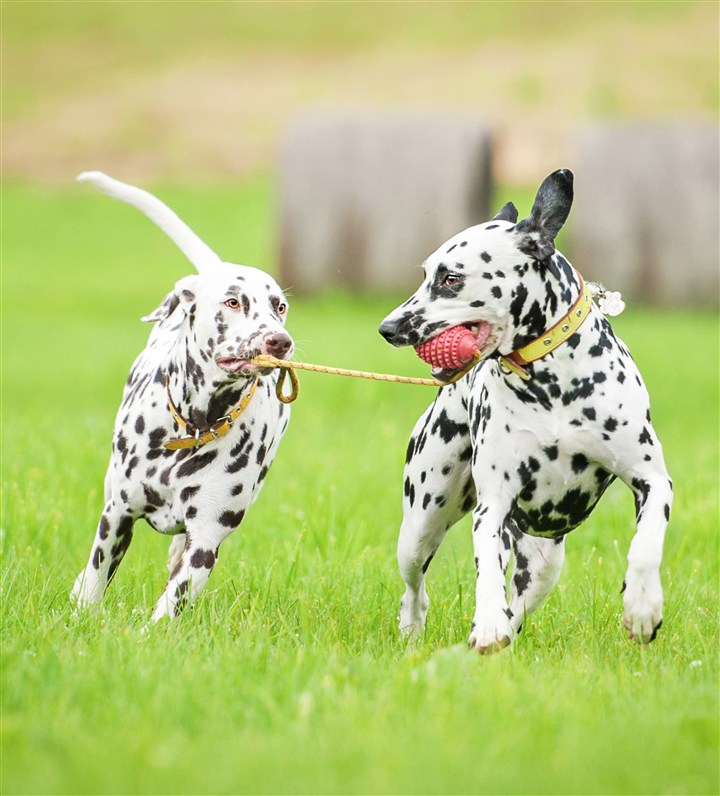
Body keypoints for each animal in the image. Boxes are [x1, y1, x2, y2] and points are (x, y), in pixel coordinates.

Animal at [69, 173, 292, 620]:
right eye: (233, 301)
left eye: (280, 306)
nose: (280, 342)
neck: (194, 425)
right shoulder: (117, 516)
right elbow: (96, 578)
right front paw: (83, 609)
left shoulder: (204, 541)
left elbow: (170, 603)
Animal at [380, 169, 672, 652]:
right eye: (424, 275)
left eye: (451, 278)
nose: (388, 328)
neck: (552, 386)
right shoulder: (492, 507)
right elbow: (486, 573)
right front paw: (486, 622)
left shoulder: (651, 479)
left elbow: (646, 545)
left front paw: (642, 605)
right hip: (422, 523)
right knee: (415, 588)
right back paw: (421, 628)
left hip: (542, 564)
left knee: (517, 606)